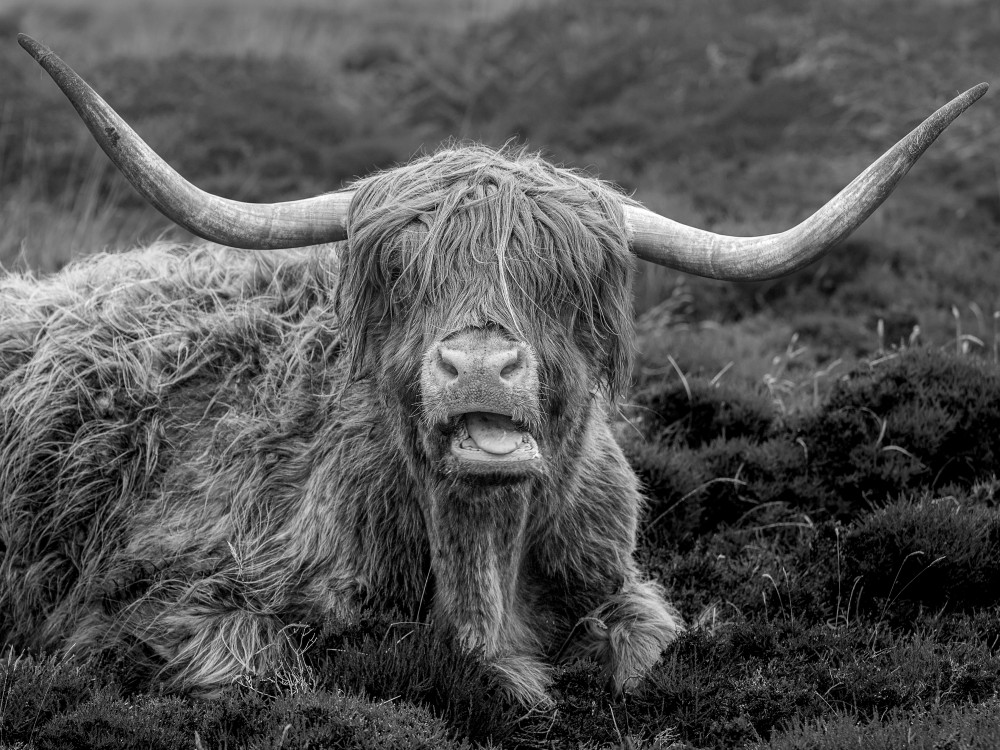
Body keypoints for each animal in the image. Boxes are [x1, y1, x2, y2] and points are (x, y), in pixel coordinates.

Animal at [0, 34, 987, 704]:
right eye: (401, 272)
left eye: (566, 278)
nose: (479, 362)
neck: (485, 568)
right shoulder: (182, 599)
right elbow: (257, 664)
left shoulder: (620, 583)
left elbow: (642, 649)